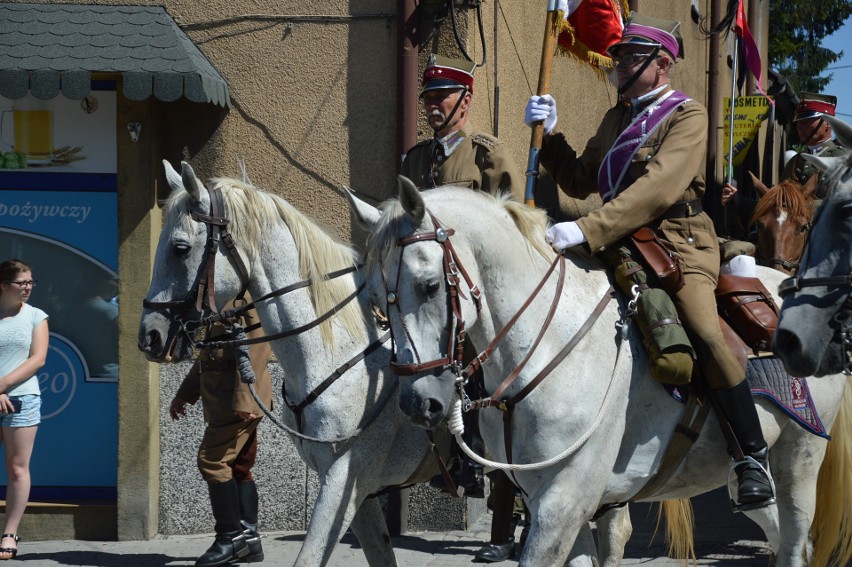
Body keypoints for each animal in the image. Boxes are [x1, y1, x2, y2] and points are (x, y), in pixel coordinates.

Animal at [348, 181, 852, 567]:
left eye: (430, 285)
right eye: (372, 296)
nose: (419, 402)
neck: (545, 346)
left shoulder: (563, 501)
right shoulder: (552, 501)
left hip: (798, 462)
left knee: (793, 541)